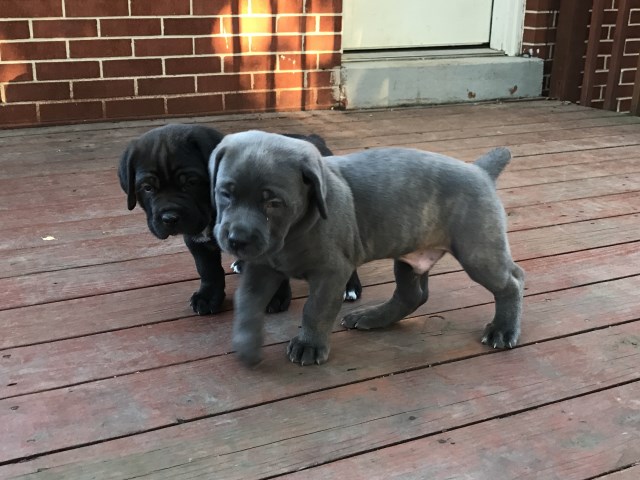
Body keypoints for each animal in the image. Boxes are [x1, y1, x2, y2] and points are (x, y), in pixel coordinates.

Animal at [118, 125, 362, 316]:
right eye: (147, 188)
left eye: (191, 182)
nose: (170, 218)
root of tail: (314, 139)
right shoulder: (197, 241)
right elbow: (208, 270)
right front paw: (208, 296)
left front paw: (274, 297)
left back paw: (349, 286)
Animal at [210, 129, 524, 366]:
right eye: (225, 194)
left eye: (274, 203)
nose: (236, 239)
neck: (292, 234)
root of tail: (479, 170)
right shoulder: (261, 268)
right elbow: (247, 304)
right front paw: (247, 344)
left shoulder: (332, 272)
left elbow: (315, 309)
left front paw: (309, 345)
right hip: (410, 256)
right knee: (413, 295)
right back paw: (371, 317)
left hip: (478, 251)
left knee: (512, 281)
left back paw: (503, 330)